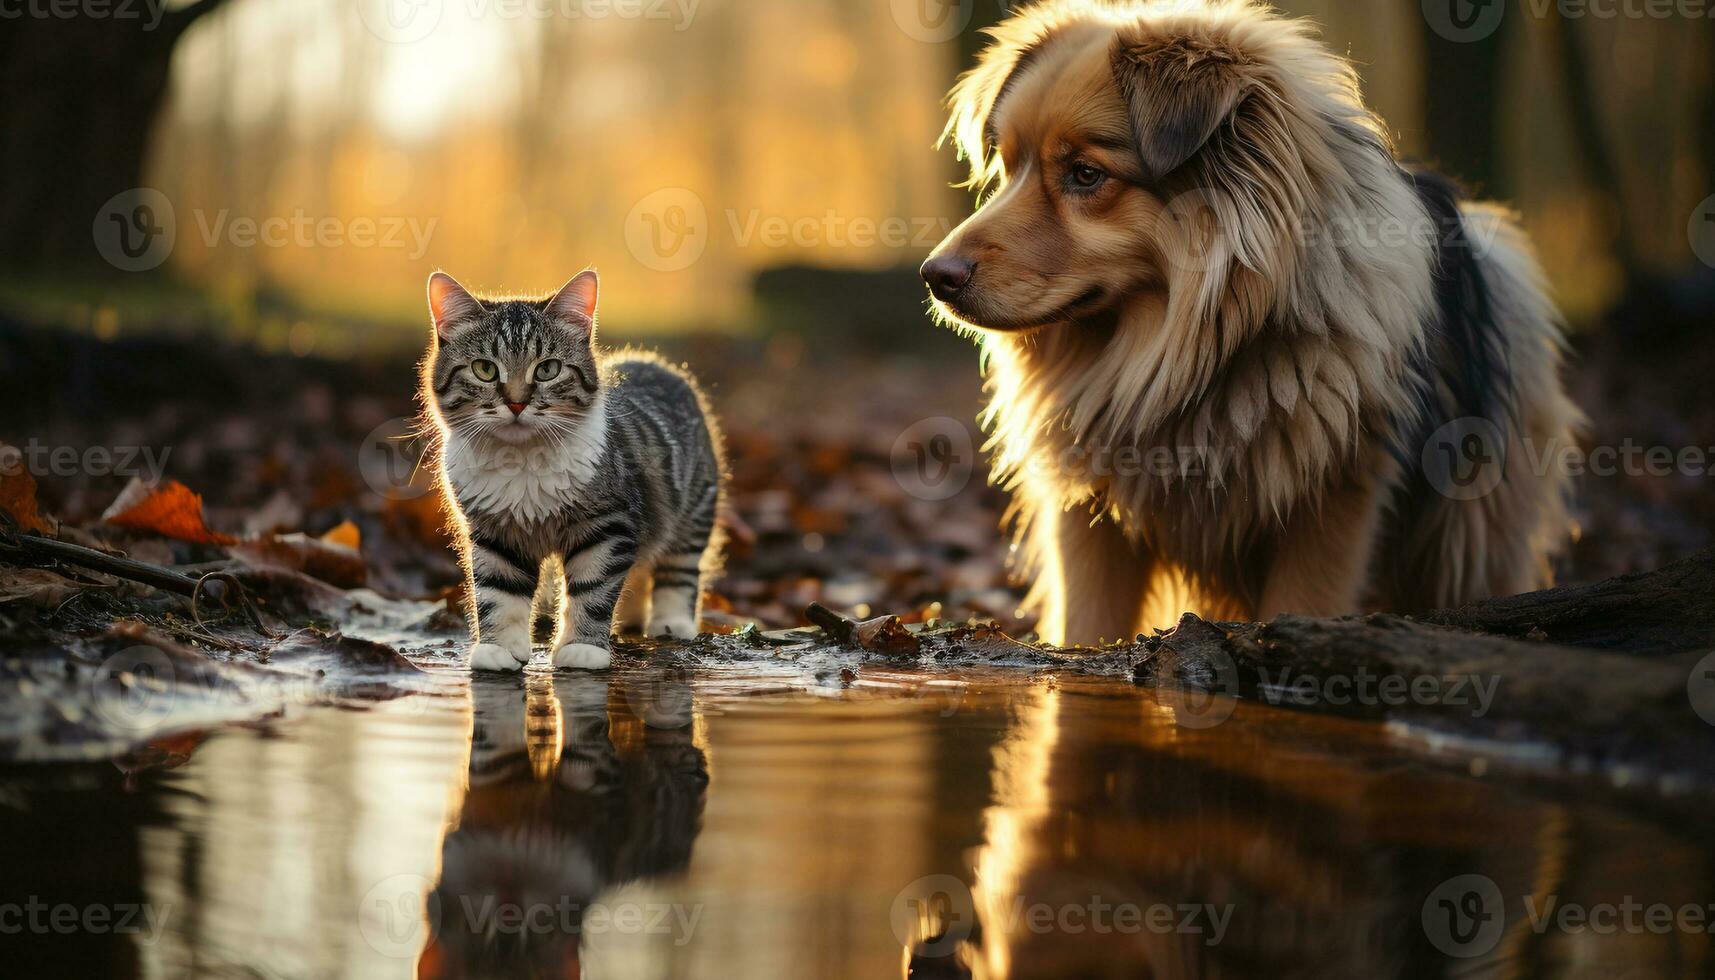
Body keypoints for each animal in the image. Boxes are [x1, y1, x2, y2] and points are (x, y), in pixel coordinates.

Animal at [428, 271, 730, 676]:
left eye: (547, 369)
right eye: (485, 369)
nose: (517, 403)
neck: (522, 461)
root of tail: (649, 361)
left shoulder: (609, 525)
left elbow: (594, 590)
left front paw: (582, 649)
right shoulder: (495, 534)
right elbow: (498, 593)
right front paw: (498, 649)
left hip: (692, 510)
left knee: (678, 568)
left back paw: (671, 623)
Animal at [926, 0, 1577, 648]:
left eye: (1086, 175)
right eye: (1009, 166)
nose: (936, 276)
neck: (1189, 352)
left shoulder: (1334, 510)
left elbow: (1303, 602)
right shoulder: (1092, 519)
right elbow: (1088, 624)